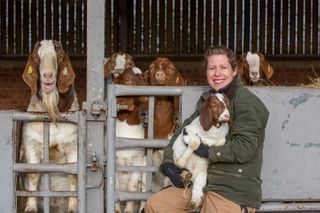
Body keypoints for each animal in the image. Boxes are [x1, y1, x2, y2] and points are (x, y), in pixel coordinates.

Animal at [21, 39, 79, 211]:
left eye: (58, 56)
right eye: (36, 57)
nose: (47, 75)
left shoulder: (73, 147)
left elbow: (73, 176)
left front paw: (73, 208)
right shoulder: (32, 146)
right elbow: (33, 174)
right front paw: (30, 208)